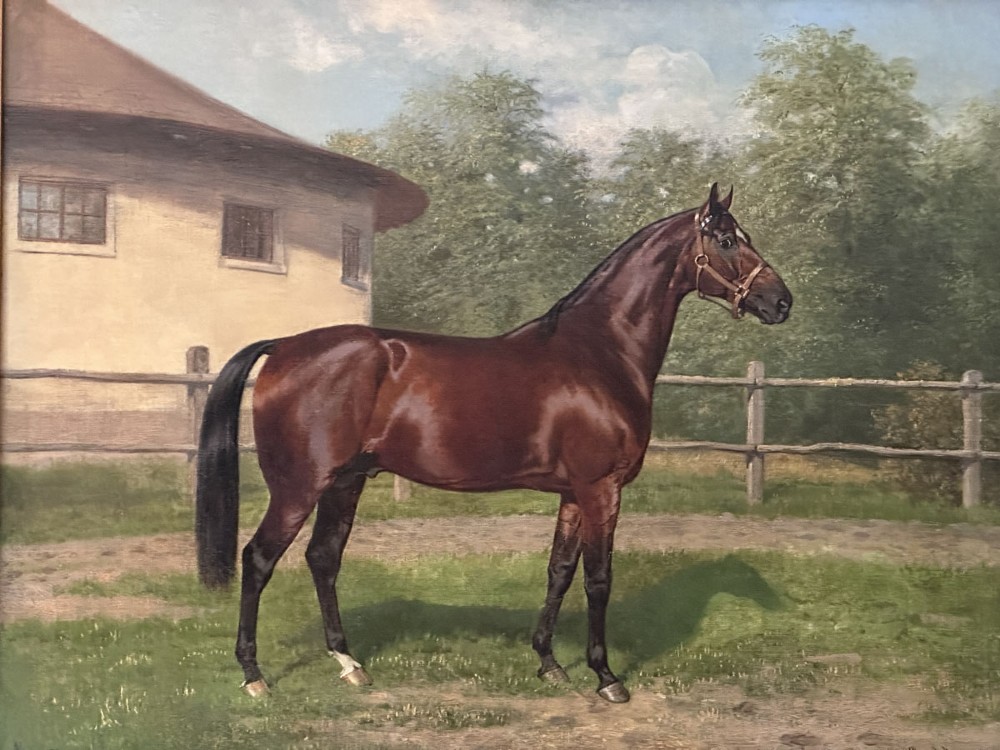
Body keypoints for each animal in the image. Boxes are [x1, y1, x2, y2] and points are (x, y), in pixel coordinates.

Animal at [195, 183, 792, 704]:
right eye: (727, 240)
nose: (781, 301)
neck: (599, 353)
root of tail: (284, 347)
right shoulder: (601, 489)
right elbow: (598, 578)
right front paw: (606, 677)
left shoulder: (572, 494)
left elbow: (559, 571)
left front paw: (549, 663)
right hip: (299, 486)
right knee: (258, 559)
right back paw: (254, 676)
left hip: (346, 481)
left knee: (323, 558)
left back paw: (350, 664)